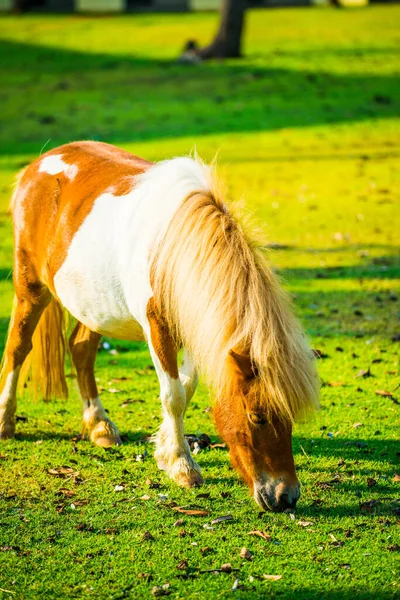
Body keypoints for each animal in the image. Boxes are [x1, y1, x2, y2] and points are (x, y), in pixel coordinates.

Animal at [0, 141, 318, 510]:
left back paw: (100, 426)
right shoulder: (158, 328)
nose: (285, 497)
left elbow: (187, 386)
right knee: (18, 348)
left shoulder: (196, 325)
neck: (175, 247)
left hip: (91, 304)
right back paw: (6, 421)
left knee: (80, 351)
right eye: (257, 417)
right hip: (30, 287)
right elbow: (174, 395)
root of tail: (38, 165)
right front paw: (182, 466)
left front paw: (166, 449)